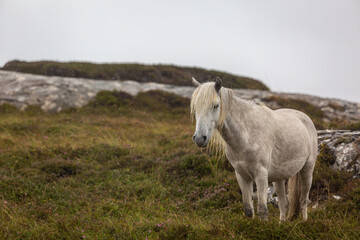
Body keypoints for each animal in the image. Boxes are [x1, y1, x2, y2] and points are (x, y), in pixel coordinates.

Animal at [190, 77, 316, 221]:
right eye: (195, 107)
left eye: (215, 105)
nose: (200, 138)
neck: (247, 135)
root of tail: (305, 118)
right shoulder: (242, 176)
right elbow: (249, 210)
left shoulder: (261, 175)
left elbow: (262, 209)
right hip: (279, 178)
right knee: (284, 205)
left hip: (307, 171)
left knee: (303, 200)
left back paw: (304, 222)